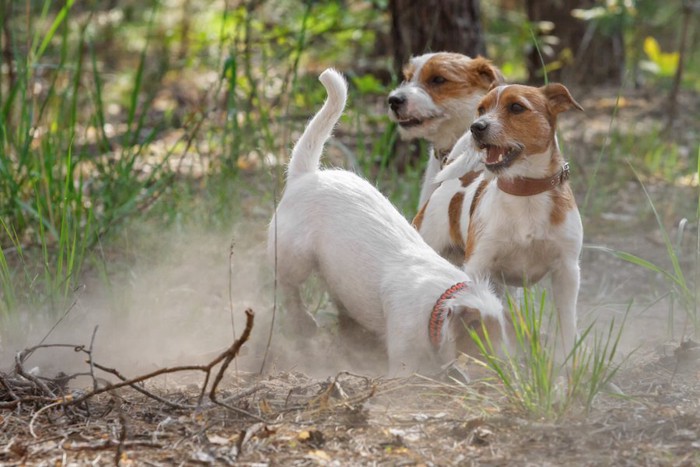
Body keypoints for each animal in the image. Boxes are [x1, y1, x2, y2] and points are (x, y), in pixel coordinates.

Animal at [270, 68, 508, 376]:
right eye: (479, 334)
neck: (439, 303)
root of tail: (306, 174)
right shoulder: (404, 357)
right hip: (293, 255)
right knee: (287, 286)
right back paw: (303, 322)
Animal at [416, 84, 584, 360]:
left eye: (516, 107)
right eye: (481, 109)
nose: (476, 127)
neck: (525, 195)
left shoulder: (567, 272)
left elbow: (567, 324)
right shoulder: (478, 266)